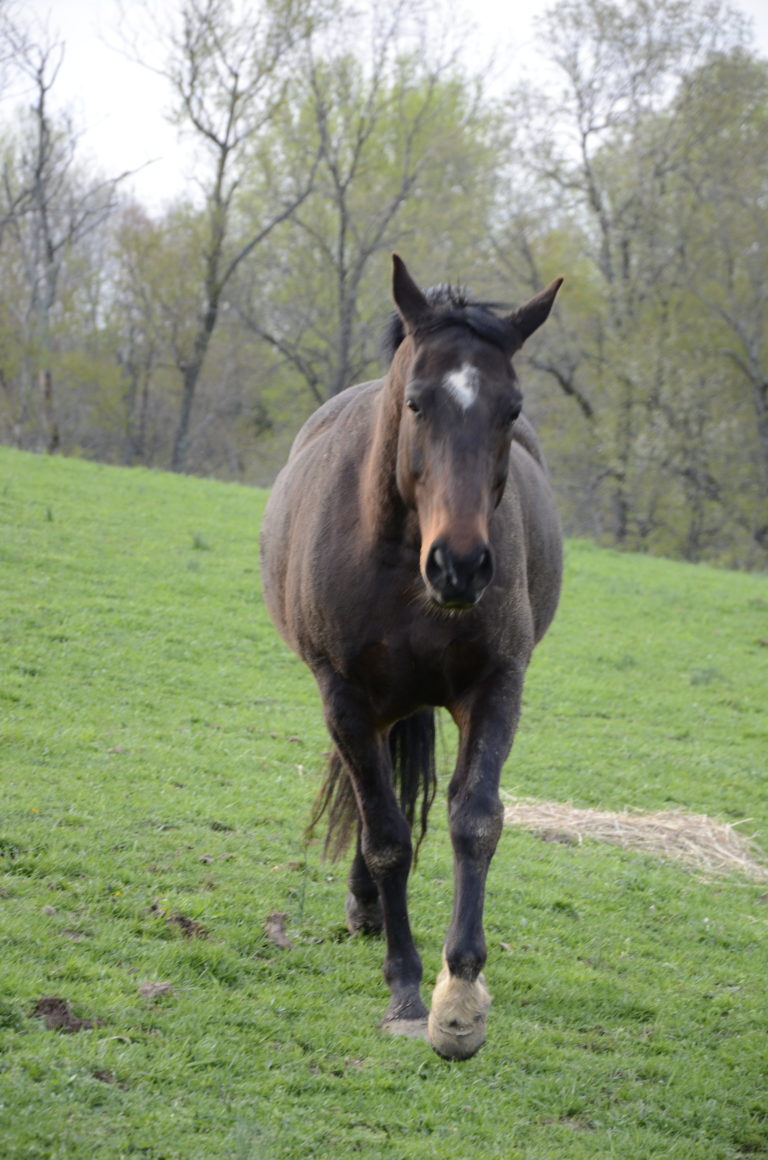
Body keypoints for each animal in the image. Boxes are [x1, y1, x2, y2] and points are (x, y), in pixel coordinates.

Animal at [260, 255, 563, 1060]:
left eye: (512, 409)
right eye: (419, 403)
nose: (460, 564)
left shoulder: (497, 686)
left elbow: (475, 819)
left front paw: (458, 999)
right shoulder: (346, 699)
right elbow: (389, 837)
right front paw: (403, 989)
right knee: (373, 806)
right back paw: (368, 909)